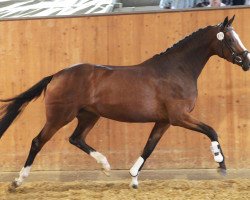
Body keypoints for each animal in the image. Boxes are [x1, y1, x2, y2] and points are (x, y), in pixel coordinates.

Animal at [0, 15, 249, 189]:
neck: (177, 70)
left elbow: (149, 147)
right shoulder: (180, 117)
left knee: (76, 138)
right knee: (37, 142)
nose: (246, 61)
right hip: (60, 116)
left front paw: (133, 179)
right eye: (230, 39)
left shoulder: (164, 121)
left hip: (89, 115)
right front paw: (221, 165)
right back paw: (17, 181)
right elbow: (211, 131)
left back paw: (105, 165)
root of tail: (56, 75)